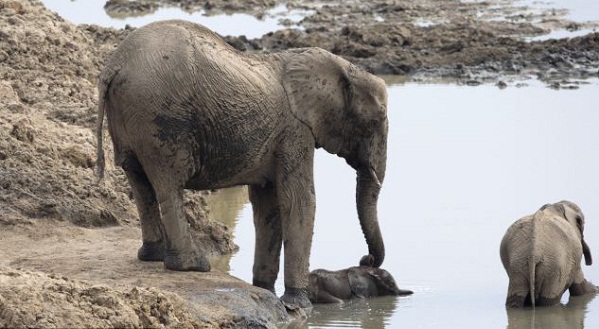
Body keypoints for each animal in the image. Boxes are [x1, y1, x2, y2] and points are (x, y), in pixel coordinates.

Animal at [95, 19, 390, 310]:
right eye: (376, 121)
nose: (366, 260)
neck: (339, 66)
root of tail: (114, 65)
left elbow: (268, 204)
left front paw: (265, 289)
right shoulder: (295, 130)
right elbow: (299, 200)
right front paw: (298, 304)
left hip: (131, 115)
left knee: (139, 182)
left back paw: (152, 256)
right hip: (162, 116)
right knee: (169, 183)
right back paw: (192, 265)